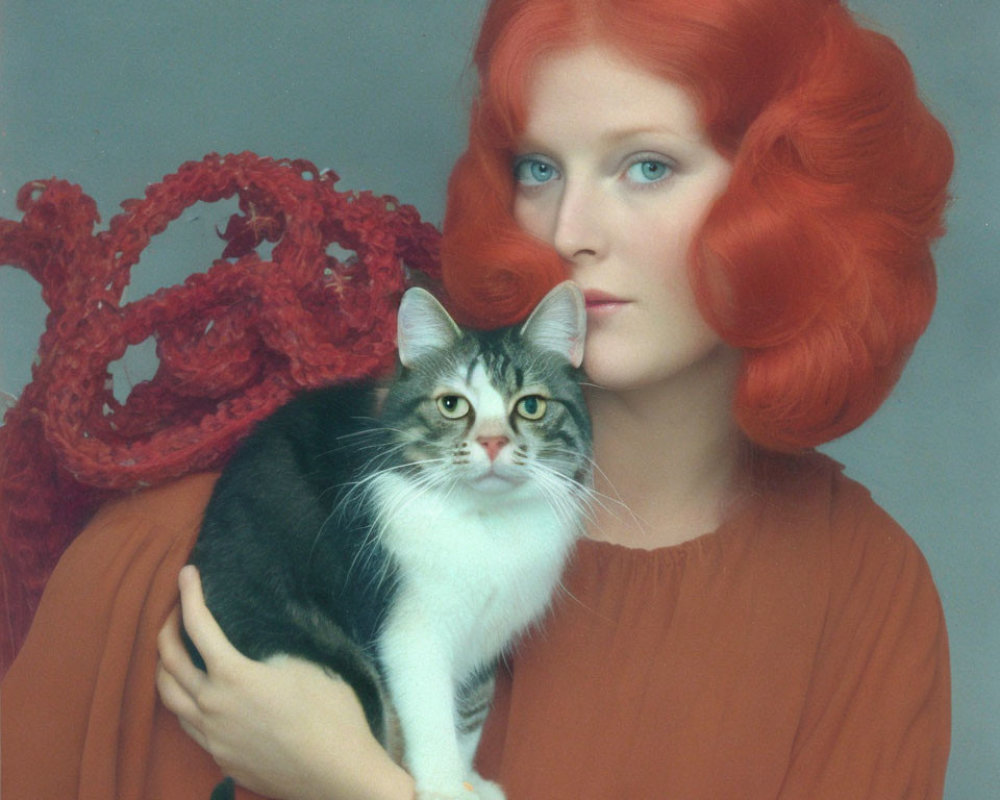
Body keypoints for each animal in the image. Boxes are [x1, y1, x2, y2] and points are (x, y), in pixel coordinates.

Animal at [187, 282, 588, 800]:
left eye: (531, 405)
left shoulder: (488, 638)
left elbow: (470, 712)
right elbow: (432, 716)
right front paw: (447, 786)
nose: (494, 442)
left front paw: (470, 778)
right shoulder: (411, 632)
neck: (487, 523)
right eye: (452, 404)